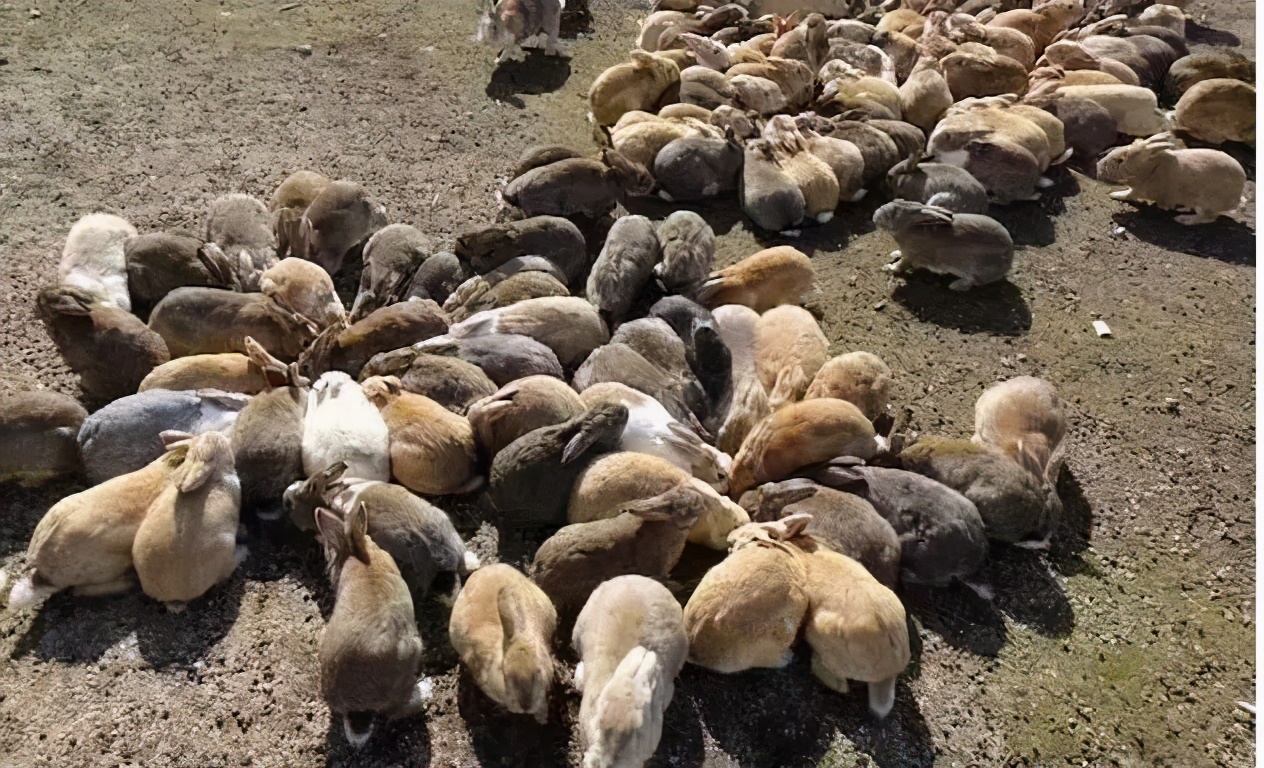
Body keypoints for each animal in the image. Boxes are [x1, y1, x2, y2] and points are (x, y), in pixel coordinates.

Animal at [873, 201, 1015, 291]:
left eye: (893, 214)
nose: (875, 215)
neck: (907, 228)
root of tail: (1009, 260)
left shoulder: (911, 256)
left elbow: (901, 265)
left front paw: (888, 268)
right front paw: (894, 254)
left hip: (976, 267)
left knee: (971, 281)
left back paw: (955, 285)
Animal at [1096, 133, 1246, 225]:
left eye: (1120, 160)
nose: (1098, 165)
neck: (1150, 170)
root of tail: (1237, 197)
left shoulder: (1140, 190)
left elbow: (1129, 194)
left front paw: (1115, 195)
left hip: (1206, 203)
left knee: (1208, 218)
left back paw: (1183, 219)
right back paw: (1182, 209)